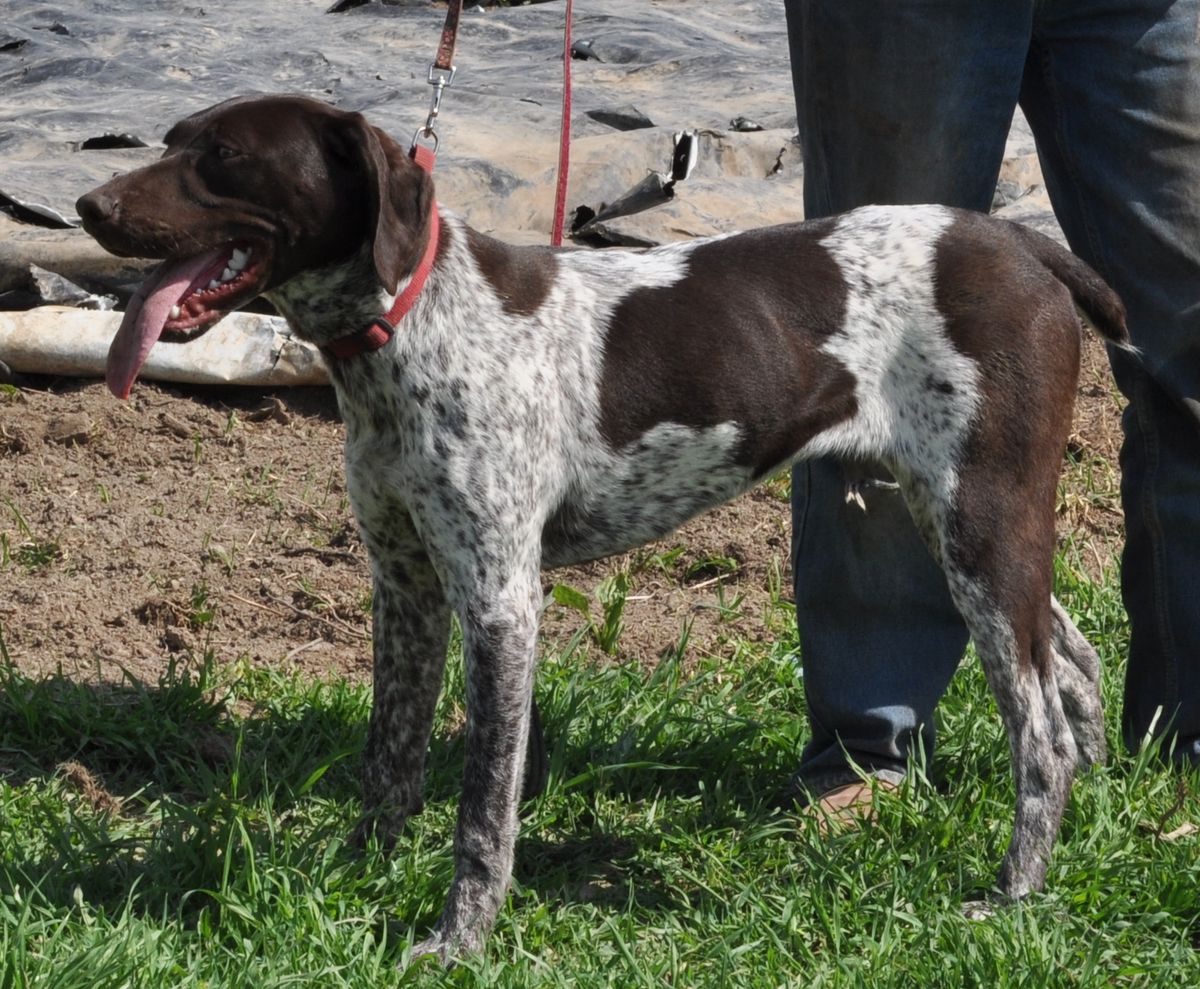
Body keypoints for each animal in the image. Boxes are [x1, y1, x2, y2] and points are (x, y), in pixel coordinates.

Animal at [77, 96, 1123, 960]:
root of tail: (1021, 244)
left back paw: (1014, 891)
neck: (412, 327)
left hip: (980, 519)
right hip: (960, 523)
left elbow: (482, 806)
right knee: (1073, 669)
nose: (88, 204)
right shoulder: (404, 585)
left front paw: (459, 939)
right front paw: (359, 873)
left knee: (1039, 728)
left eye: (223, 155)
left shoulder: (501, 602)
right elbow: (391, 758)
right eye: (169, 139)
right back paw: (1105, 804)